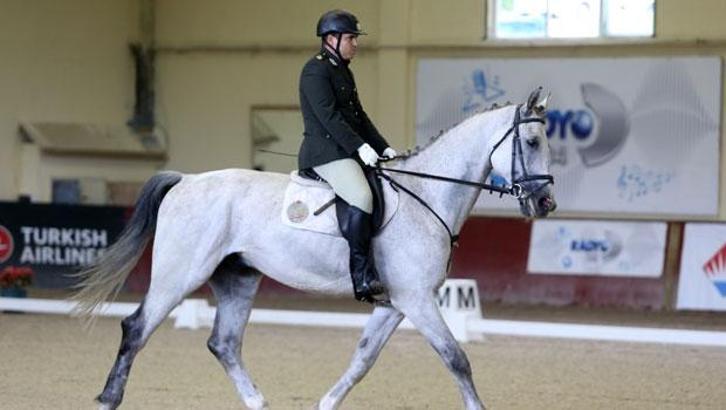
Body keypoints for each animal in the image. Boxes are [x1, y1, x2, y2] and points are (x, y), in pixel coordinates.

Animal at [75, 88, 556, 408]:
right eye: (532, 143)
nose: (545, 204)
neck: (427, 195)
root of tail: (187, 179)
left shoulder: (394, 303)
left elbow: (362, 360)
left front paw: (326, 403)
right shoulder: (417, 299)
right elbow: (457, 359)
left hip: (237, 277)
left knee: (224, 343)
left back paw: (258, 402)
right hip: (180, 274)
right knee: (136, 328)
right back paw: (108, 397)